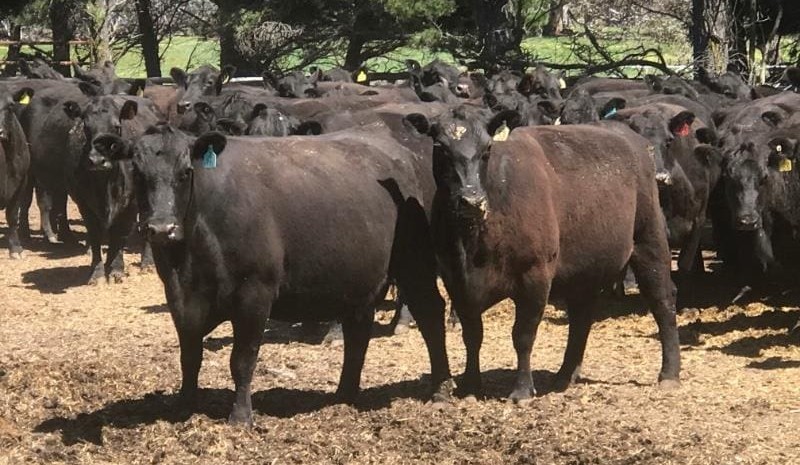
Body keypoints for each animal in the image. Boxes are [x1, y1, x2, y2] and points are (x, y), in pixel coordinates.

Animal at [91, 121, 454, 424]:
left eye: (185, 172)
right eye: (138, 172)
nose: (161, 229)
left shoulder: (255, 293)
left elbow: (242, 359)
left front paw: (240, 416)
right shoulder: (181, 294)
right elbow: (190, 355)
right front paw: (183, 406)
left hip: (415, 264)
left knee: (431, 314)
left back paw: (441, 388)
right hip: (358, 278)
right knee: (357, 332)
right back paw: (344, 394)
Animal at [403, 106, 681, 401]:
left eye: (487, 148)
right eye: (440, 148)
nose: (471, 200)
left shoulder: (534, 275)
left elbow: (523, 335)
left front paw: (523, 390)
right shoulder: (456, 281)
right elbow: (472, 336)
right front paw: (470, 385)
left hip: (650, 240)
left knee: (662, 302)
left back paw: (669, 373)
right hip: (586, 267)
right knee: (581, 318)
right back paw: (564, 376)